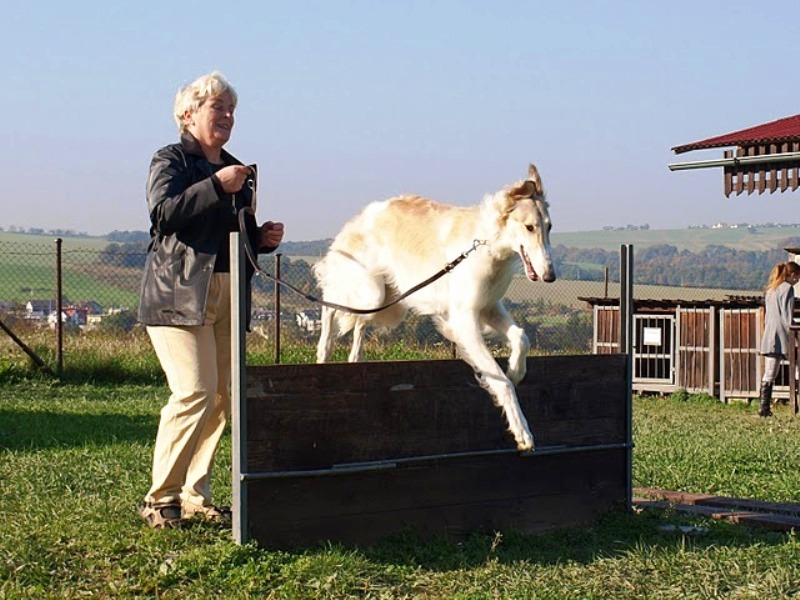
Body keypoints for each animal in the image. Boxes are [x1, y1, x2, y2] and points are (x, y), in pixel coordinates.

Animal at [314, 164, 556, 450]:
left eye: (549, 227)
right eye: (529, 227)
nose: (550, 276)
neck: (483, 245)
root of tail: (364, 214)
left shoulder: (487, 306)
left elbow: (521, 337)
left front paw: (516, 370)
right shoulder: (464, 320)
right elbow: (502, 382)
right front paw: (523, 432)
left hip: (390, 301)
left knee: (359, 322)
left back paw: (354, 358)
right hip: (370, 293)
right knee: (330, 302)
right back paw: (323, 350)